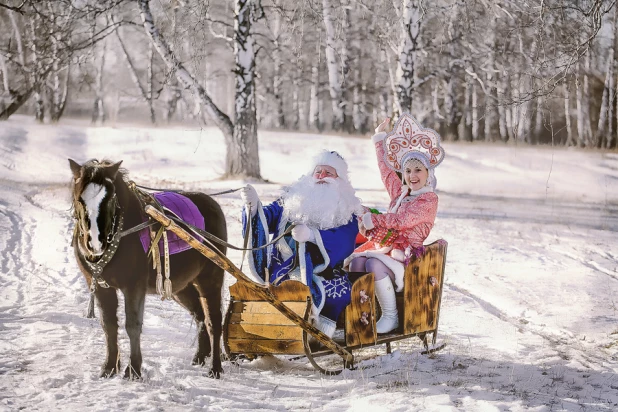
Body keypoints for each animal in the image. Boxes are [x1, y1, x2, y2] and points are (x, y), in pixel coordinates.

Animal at [68, 159, 226, 380]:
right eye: (79, 199)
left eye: (109, 199)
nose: (95, 243)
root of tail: (212, 204)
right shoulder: (100, 286)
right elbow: (108, 325)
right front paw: (109, 367)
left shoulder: (134, 286)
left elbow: (132, 325)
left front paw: (133, 369)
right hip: (180, 287)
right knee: (200, 315)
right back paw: (200, 357)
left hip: (210, 279)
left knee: (214, 321)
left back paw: (215, 368)